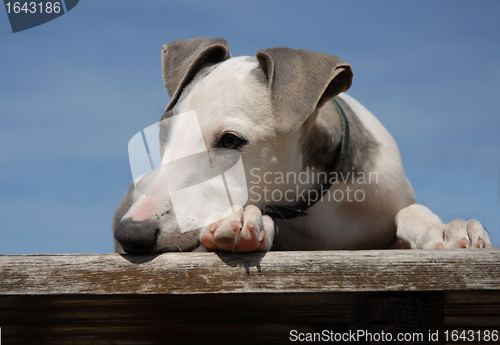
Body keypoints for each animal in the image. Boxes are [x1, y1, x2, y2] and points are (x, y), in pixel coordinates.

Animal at [111, 37, 490, 253]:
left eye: (231, 140)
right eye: (164, 133)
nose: (131, 234)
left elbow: (410, 212)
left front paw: (446, 229)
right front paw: (244, 222)